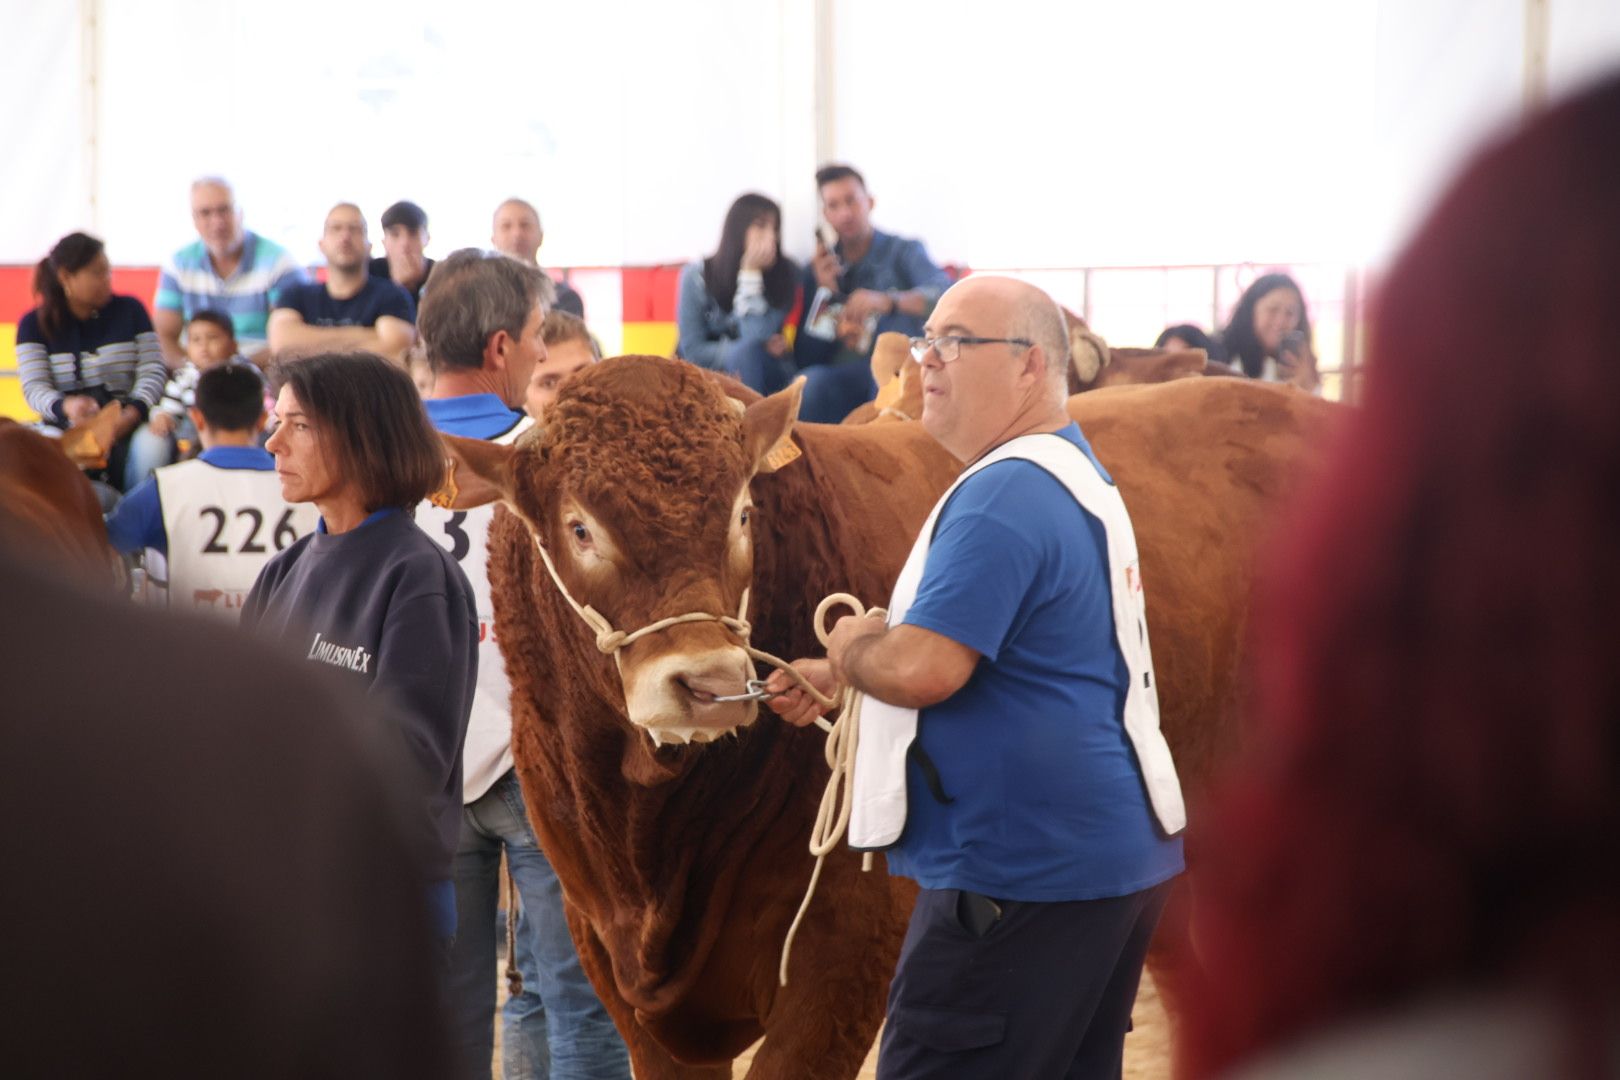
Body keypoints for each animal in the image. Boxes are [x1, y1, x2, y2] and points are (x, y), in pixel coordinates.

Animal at [440, 359, 1328, 1075]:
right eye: (580, 526)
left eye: (740, 515)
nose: (706, 680)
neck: (652, 842)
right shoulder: (609, 958)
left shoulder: (847, 954)